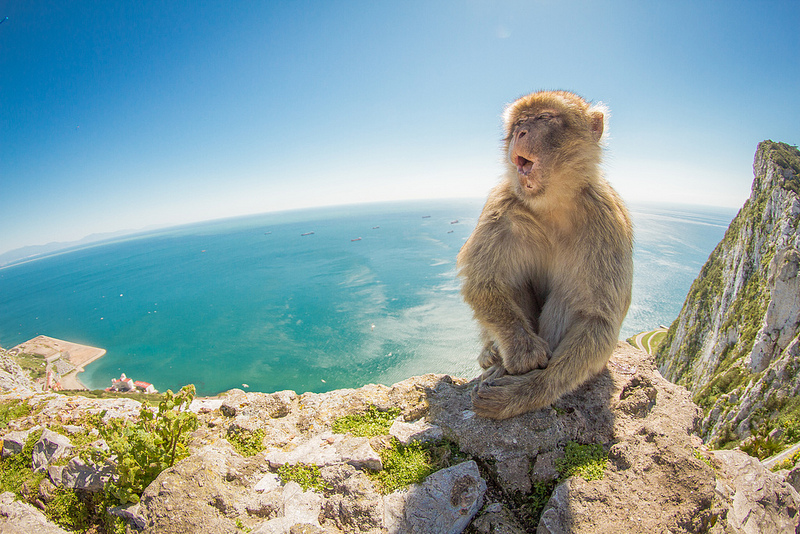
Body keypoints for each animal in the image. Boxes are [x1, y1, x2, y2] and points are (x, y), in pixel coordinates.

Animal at [456, 90, 633, 420]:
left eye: (544, 118)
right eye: (519, 122)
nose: (521, 133)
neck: (552, 204)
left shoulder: (608, 221)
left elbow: (597, 318)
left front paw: (528, 390)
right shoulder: (500, 206)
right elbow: (483, 282)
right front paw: (522, 350)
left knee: (569, 299)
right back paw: (494, 354)